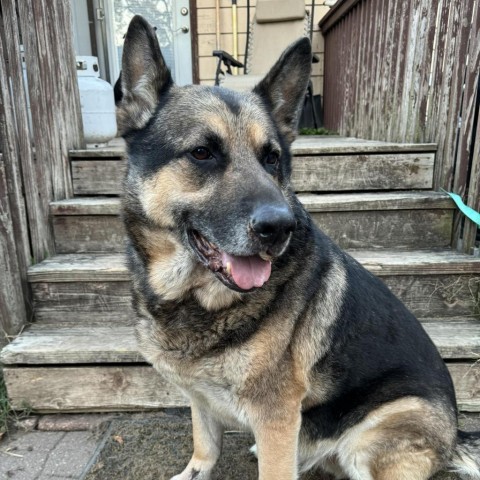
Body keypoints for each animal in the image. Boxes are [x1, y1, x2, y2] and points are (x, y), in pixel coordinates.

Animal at [117, 15, 480, 480]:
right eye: (201, 153)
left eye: (272, 158)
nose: (279, 228)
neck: (193, 298)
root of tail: (454, 437)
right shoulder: (199, 398)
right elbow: (205, 447)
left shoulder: (277, 417)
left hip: (370, 438)